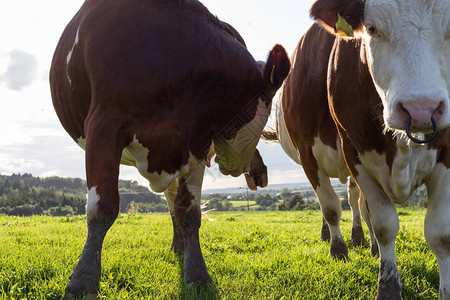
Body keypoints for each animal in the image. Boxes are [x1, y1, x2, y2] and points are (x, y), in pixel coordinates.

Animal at [48, 0, 288, 296]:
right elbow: (102, 208)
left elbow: (189, 213)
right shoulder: (103, 128)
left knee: (174, 202)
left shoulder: (195, 144)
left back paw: (181, 247)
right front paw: (83, 279)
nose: (245, 167)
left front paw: (197, 273)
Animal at [280, 0, 448, 300]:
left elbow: (440, 232)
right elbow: (366, 218)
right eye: (371, 29)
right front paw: (345, 256)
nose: (421, 109)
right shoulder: (343, 154)